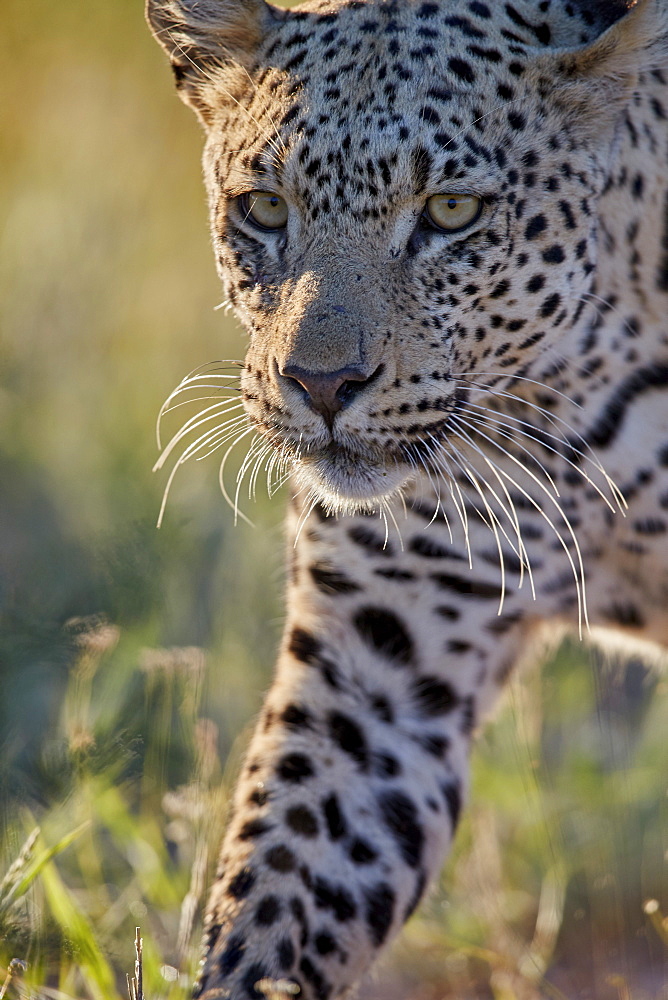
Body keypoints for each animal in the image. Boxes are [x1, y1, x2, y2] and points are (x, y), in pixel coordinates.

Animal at [146, 1, 668, 992]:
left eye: (451, 212)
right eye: (264, 208)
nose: (320, 385)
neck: (566, 403)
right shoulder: (375, 679)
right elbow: (278, 887)